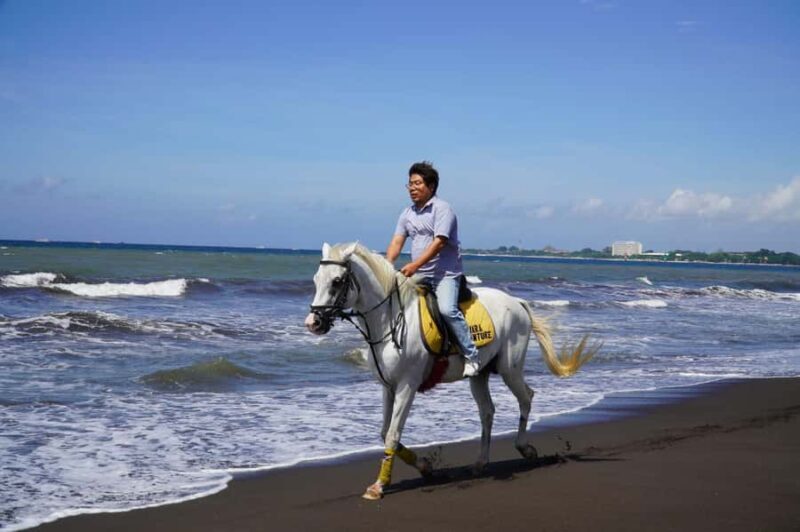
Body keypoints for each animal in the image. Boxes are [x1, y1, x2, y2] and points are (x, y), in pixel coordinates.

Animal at [304, 242, 598, 500]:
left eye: (337, 281)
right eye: (316, 279)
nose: (313, 323)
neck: (390, 321)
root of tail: (516, 301)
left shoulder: (407, 386)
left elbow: (393, 434)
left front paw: (379, 486)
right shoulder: (388, 387)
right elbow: (385, 432)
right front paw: (425, 467)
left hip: (510, 369)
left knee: (526, 397)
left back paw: (525, 449)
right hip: (480, 375)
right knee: (487, 412)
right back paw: (480, 463)